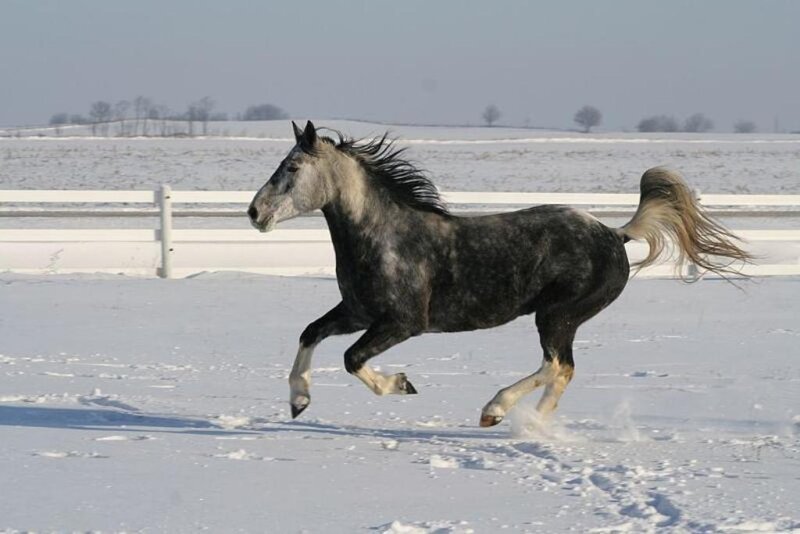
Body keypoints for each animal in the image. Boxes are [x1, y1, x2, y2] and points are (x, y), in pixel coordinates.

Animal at [248, 121, 750, 427]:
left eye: (292, 167)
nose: (254, 213)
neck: (385, 237)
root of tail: (614, 233)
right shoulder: (356, 312)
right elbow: (310, 333)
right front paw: (298, 401)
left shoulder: (403, 323)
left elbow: (352, 359)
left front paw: (402, 384)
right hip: (559, 318)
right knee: (561, 371)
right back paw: (533, 424)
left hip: (557, 315)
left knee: (556, 365)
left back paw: (498, 412)